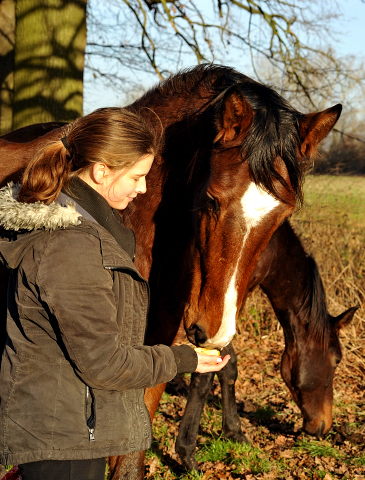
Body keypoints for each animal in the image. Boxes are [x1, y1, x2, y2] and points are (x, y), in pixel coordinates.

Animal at [173, 219, 356, 470]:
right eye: (337, 359)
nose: (324, 426)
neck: (271, 249)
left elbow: (228, 368)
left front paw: (234, 432)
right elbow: (204, 376)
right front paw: (187, 451)